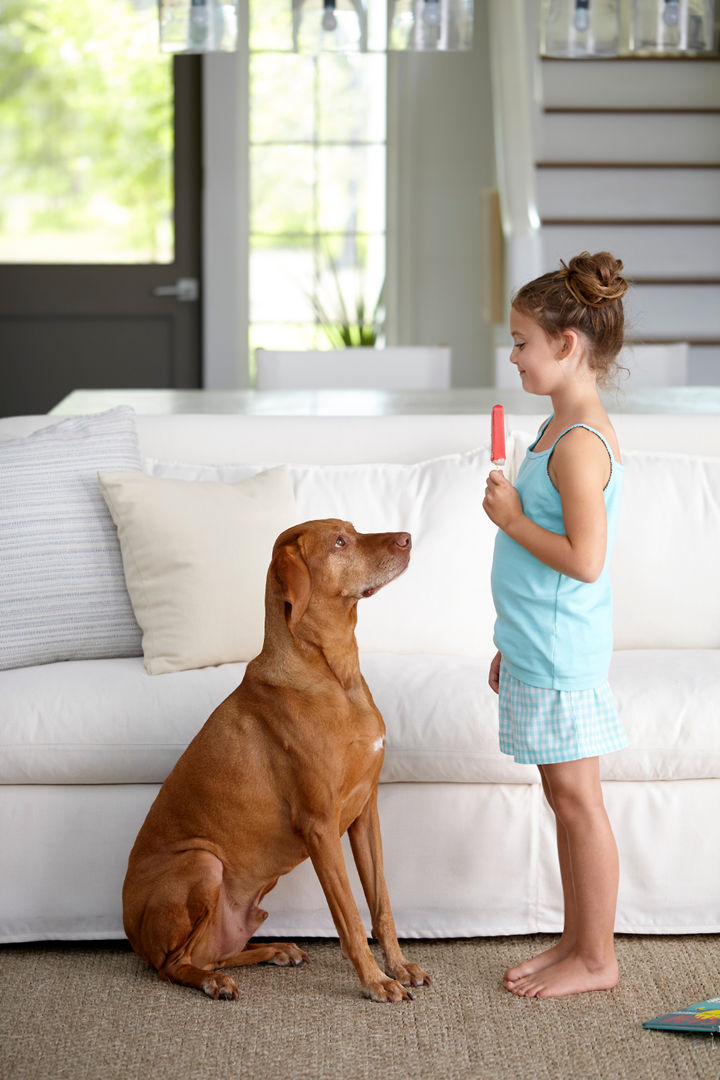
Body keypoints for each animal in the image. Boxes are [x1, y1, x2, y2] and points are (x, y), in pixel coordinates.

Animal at [120, 518, 431, 997]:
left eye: (353, 529)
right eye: (339, 542)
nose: (407, 538)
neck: (335, 673)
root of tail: (131, 933)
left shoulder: (366, 813)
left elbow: (381, 904)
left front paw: (398, 966)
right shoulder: (319, 826)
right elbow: (350, 918)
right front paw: (376, 982)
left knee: (211, 951)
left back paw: (277, 950)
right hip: (203, 862)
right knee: (174, 965)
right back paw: (213, 982)